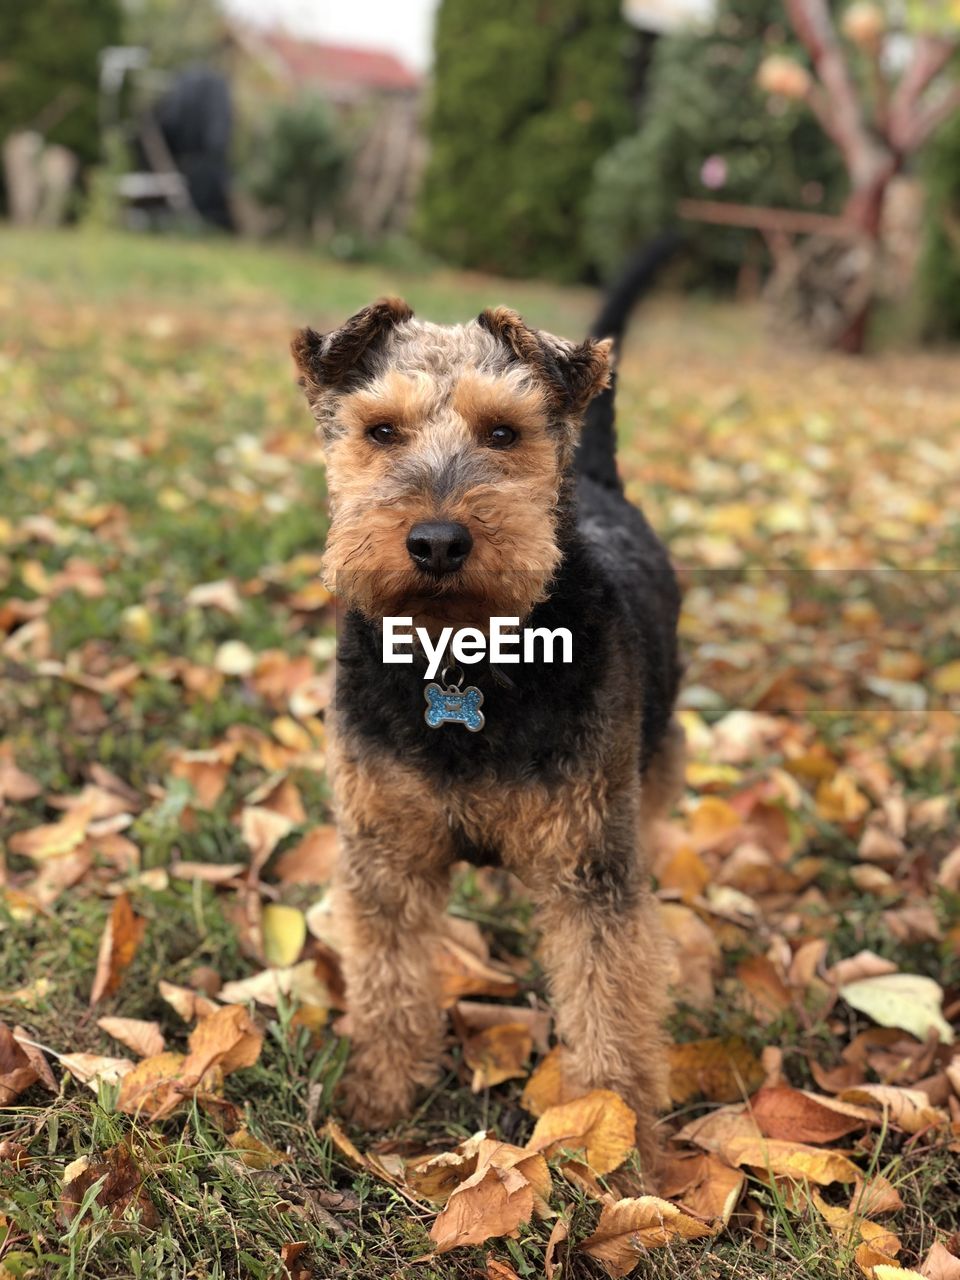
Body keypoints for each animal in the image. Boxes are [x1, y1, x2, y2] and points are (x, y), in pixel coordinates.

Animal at [291, 247, 686, 1172]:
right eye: (381, 431)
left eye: (504, 432)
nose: (437, 543)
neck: (463, 662)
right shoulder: (385, 854)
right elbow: (390, 982)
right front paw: (378, 1097)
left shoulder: (590, 867)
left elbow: (609, 1007)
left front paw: (621, 1143)